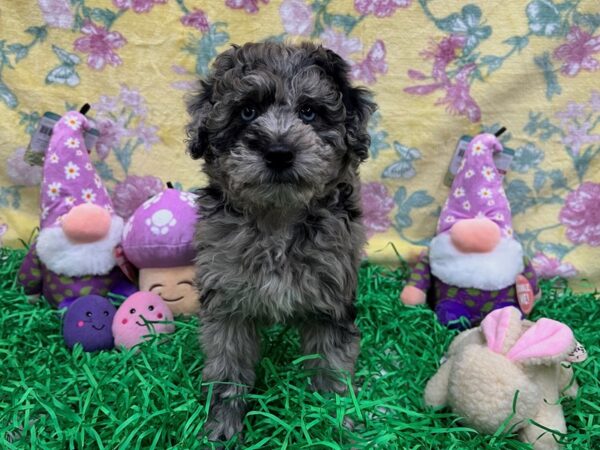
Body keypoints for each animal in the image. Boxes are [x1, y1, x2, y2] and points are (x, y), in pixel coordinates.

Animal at [185, 40, 378, 442]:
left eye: (309, 112)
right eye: (247, 111)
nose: (278, 153)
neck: (277, 218)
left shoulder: (332, 302)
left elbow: (331, 366)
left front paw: (334, 422)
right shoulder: (226, 303)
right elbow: (227, 367)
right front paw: (222, 426)